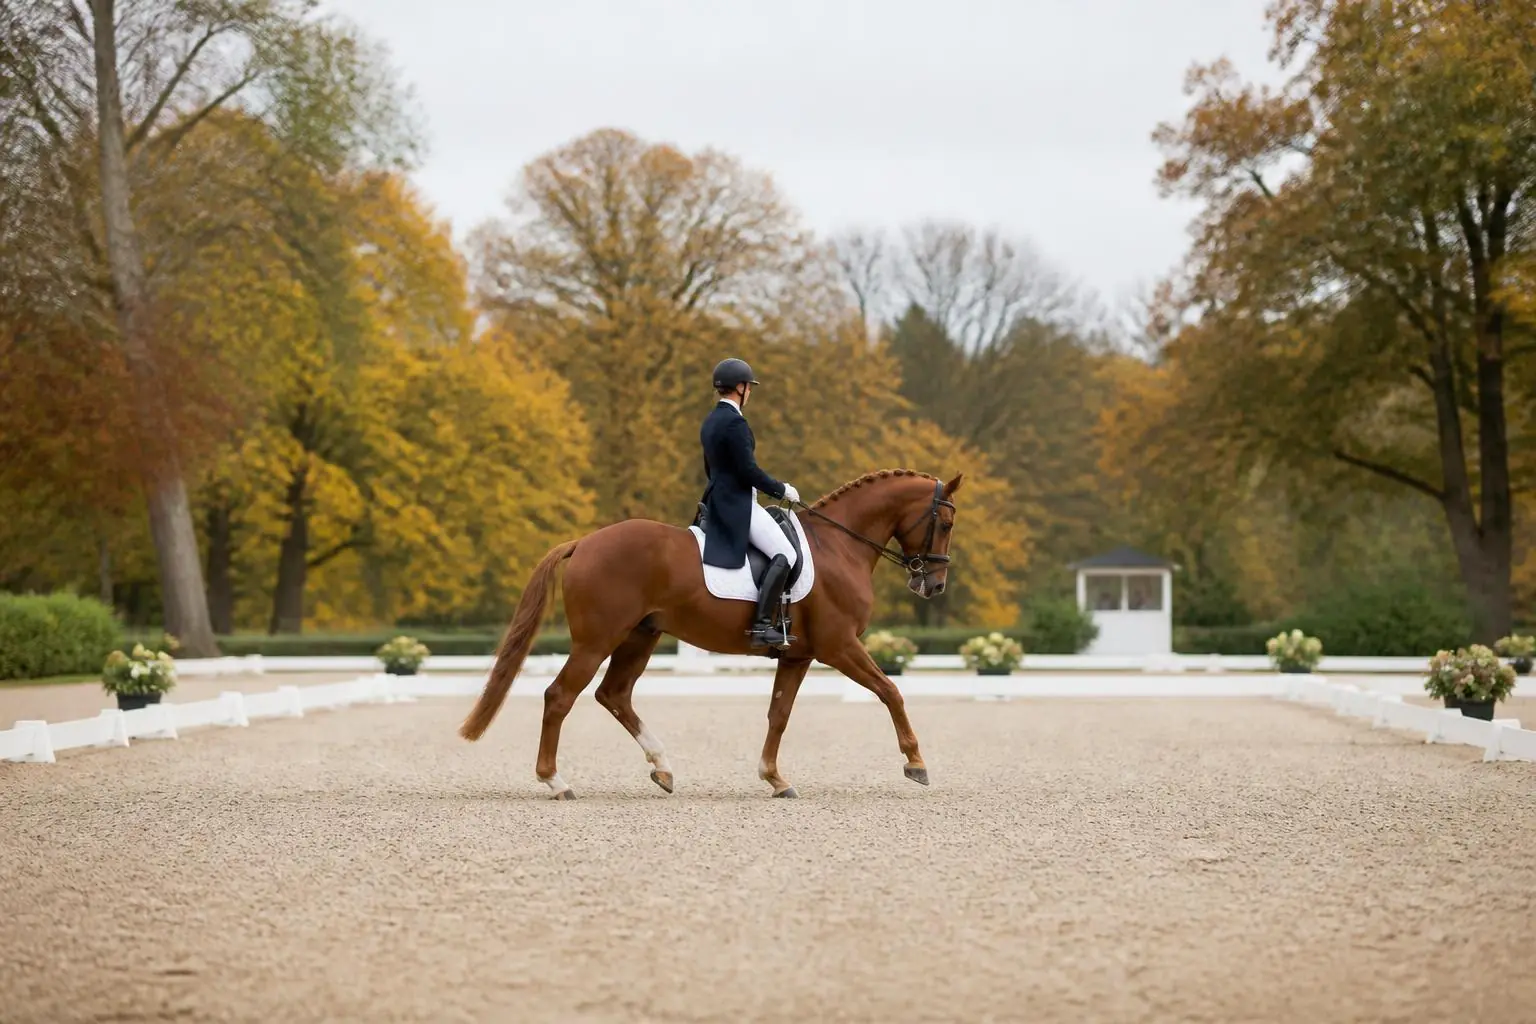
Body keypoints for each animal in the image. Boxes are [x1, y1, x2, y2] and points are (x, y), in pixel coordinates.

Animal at [457, 468, 963, 799]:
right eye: (946, 522)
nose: (934, 585)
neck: (839, 546)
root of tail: (584, 542)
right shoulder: (840, 646)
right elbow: (890, 691)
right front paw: (916, 763)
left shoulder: (798, 655)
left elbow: (779, 715)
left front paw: (774, 778)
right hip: (597, 640)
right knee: (561, 696)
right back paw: (556, 781)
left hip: (640, 636)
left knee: (614, 694)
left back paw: (662, 768)